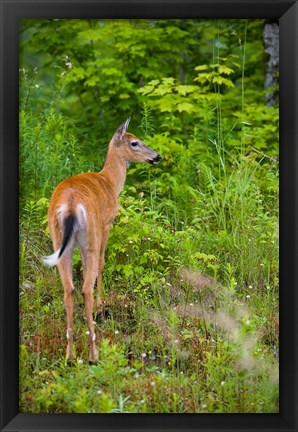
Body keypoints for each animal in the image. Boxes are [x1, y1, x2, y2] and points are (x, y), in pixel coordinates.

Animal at [42, 117, 161, 362]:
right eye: (135, 142)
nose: (157, 156)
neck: (110, 181)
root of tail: (70, 206)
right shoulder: (107, 223)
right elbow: (103, 263)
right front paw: (101, 302)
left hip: (58, 240)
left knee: (69, 289)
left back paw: (69, 355)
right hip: (91, 235)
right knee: (85, 287)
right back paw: (93, 352)